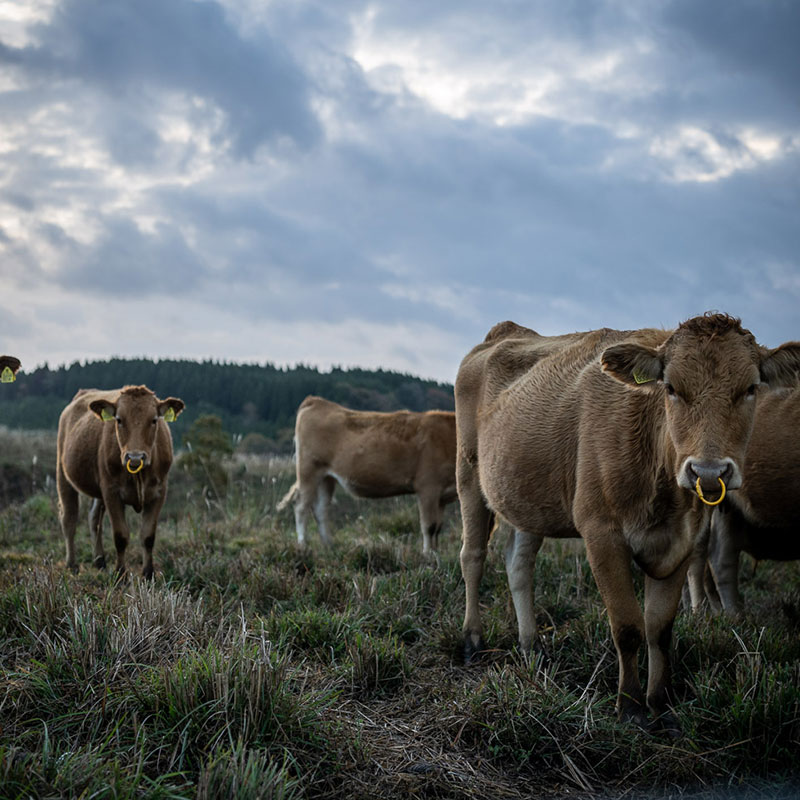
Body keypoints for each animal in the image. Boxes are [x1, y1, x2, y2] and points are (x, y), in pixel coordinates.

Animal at [57, 384, 186, 580]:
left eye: (154, 420)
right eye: (119, 420)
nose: (135, 457)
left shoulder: (159, 492)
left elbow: (148, 536)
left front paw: (149, 574)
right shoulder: (112, 492)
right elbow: (120, 536)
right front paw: (121, 575)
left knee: (94, 518)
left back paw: (100, 561)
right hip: (63, 474)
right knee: (69, 520)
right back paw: (72, 565)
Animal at [278, 396, 456, 556]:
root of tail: (316, 401)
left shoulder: (442, 496)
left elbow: (438, 527)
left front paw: (436, 553)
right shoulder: (428, 487)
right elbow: (429, 526)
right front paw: (428, 555)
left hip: (326, 478)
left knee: (320, 509)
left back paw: (329, 546)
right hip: (308, 471)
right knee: (301, 506)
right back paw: (303, 546)